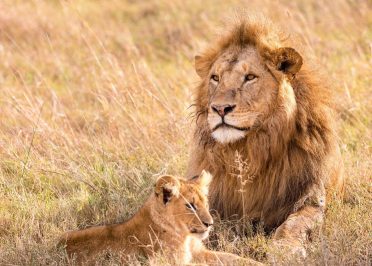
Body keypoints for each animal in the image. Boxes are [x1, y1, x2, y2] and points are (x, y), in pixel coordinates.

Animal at [59, 171, 260, 264]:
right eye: (190, 206)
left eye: (205, 202)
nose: (209, 224)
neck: (185, 237)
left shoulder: (200, 253)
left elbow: (235, 258)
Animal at [187, 16, 344, 256]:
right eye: (215, 78)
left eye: (250, 77)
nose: (220, 108)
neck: (249, 150)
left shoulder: (310, 196)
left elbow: (295, 223)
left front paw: (285, 249)